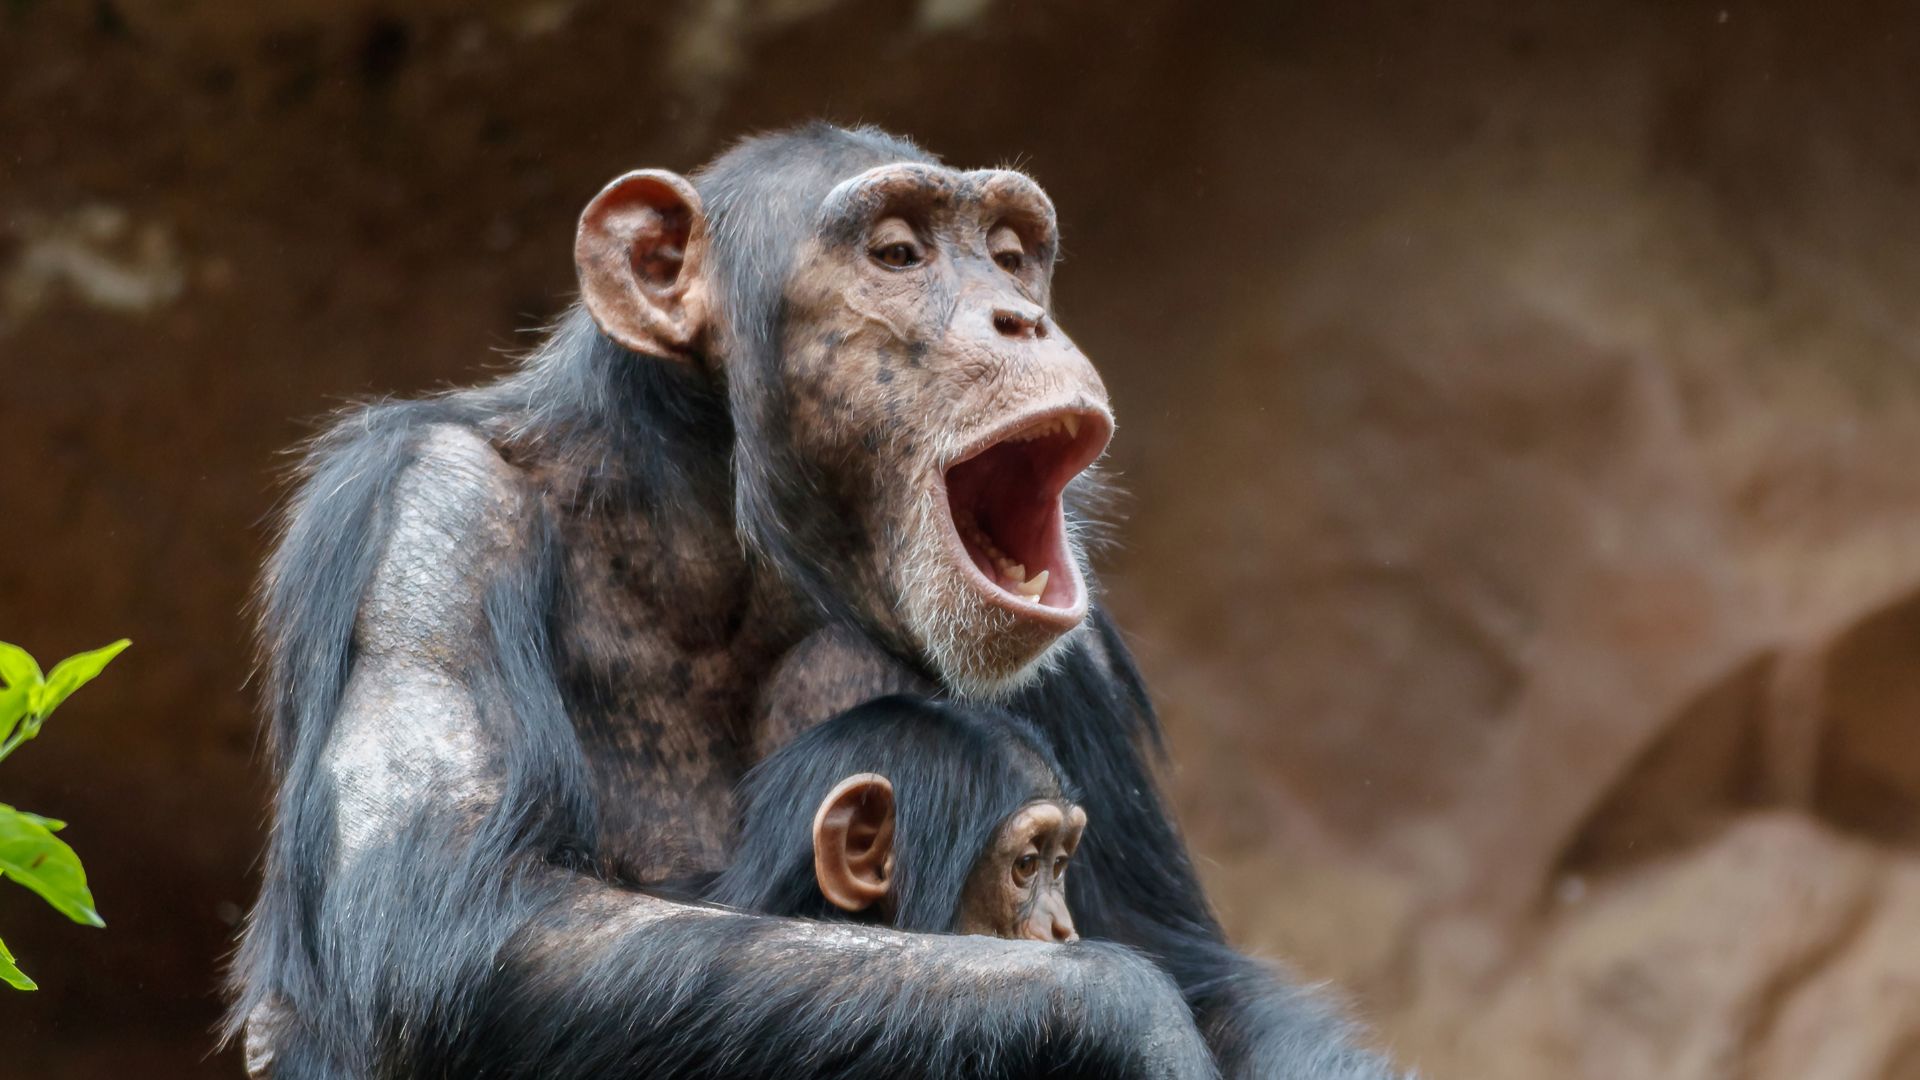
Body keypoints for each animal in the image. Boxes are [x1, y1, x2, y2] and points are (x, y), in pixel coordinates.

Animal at [228, 122, 1404, 1080]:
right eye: (897, 253)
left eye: (1009, 253)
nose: (1020, 316)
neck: (715, 539)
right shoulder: (427, 515)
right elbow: (450, 922)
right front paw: (1125, 1013)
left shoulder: (1071, 648)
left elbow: (1205, 976)